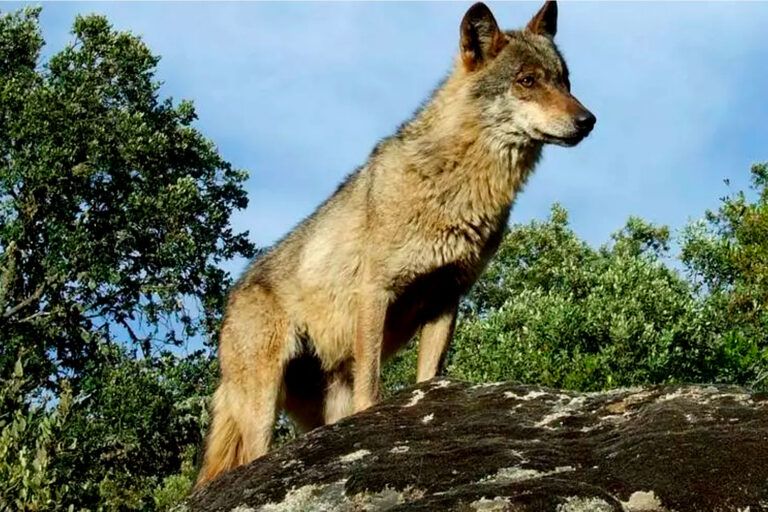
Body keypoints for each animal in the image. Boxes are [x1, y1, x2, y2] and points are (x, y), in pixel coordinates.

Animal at [197, 0, 595, 486]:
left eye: (565, 80)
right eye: (527, 81)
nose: (588, 120)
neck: (457, 184)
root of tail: (232, 298)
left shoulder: (446, 300)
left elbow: (427, 379)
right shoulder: (374, 293)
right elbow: (372, 390)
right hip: (263, 400)